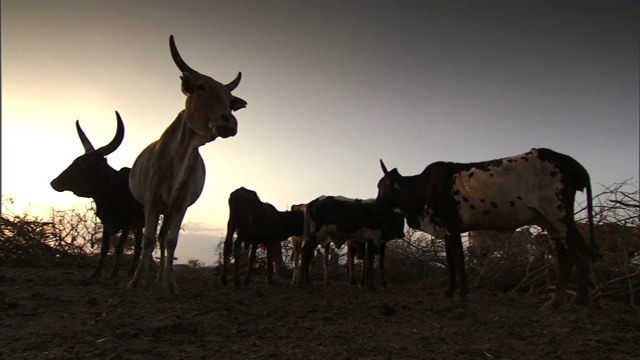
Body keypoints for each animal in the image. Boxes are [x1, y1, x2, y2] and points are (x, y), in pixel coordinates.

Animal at [50, 111, 145, 280]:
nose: (55, 182)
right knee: (138, 247)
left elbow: (119, 247)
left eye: (86, 163)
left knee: (141, 247)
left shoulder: (127, 224)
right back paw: (130, 273)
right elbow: (104, 248)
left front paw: (114, 275)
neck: (111, 192)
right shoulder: (106, 223)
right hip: (137, 227)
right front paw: (96, 273)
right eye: (75, 160)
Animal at [127, 35, 245, 296]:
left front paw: (170, 284)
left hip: (169, 210)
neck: (178, 157)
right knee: (150, 237)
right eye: (200, 87)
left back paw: (159, 278)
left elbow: (171, 241)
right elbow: (148, 238)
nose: (229, 121)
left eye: (229, 100)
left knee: (163, 239)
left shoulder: (180, 206)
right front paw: (137, 281)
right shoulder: (150, 201)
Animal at [376, 148, 600, 308]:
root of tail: (573, 164)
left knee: (579, 251)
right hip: (550, 223)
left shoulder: (452, 227)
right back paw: (554, 302)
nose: (376, 204)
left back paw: (579, 301)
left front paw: (462, 295)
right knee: (565, 257)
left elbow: (459, 260)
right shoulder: (446, 230)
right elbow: (451, 262)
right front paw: (449, 292)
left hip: (559, 215)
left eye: (380, 186)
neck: (423, 188)